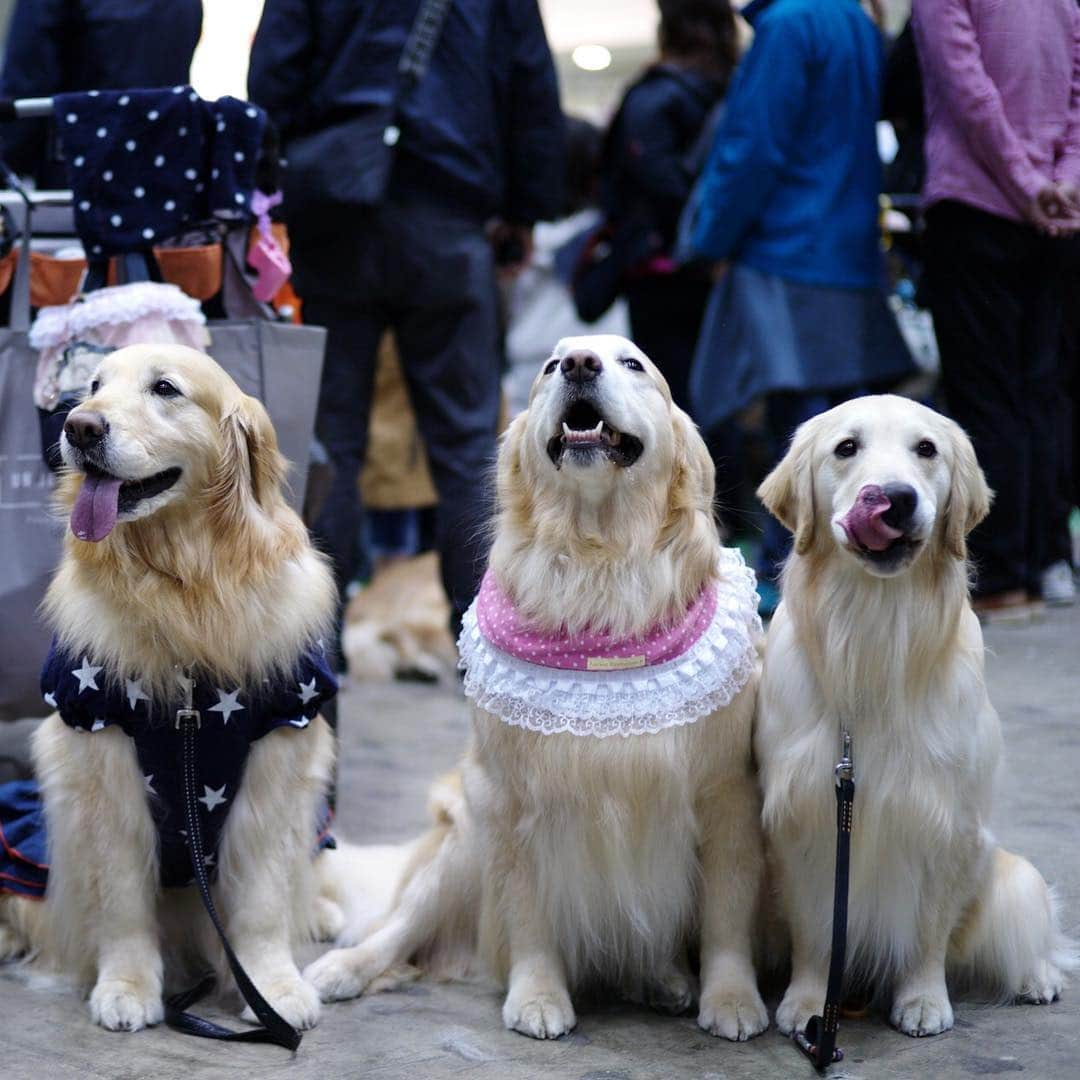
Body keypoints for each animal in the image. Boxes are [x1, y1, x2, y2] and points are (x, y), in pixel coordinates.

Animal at [0, 343, 345, 1028]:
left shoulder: (281, 742)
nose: (79, 427)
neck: (184, 587)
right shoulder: (99, 747)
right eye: (92, 386)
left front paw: (271, 988)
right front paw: (126, 987)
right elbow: (121, 897)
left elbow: (263, 900)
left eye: (165, 389)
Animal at [300, 334, 768, 1036]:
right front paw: (538, 996)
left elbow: (731, 914)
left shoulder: (727, 792)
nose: (579, 364)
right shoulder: (507, 796)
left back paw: (662, 978)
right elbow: (528, 911)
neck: (601, 566)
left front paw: (733, 997)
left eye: (633, 364)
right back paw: (343, 968)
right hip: (462, 843)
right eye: (551, 367)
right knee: (401, 927)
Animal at [756, 395, 1075, 1036]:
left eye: (926, 449)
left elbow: (929, 928)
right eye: (846, 447)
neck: (873, 632)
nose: (896, 497)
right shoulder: (800, 817)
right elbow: (814, 930)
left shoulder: (947, 818)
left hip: (1014, 879)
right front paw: (808, 1002)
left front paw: (924, 1000)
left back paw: (1038, 979)